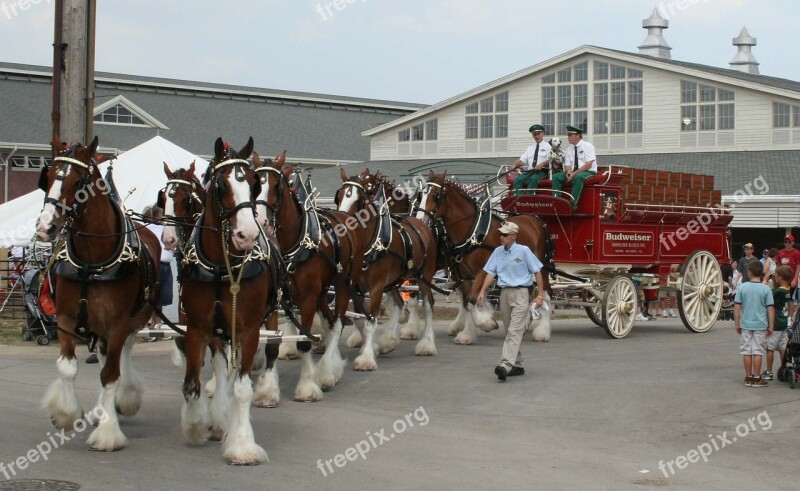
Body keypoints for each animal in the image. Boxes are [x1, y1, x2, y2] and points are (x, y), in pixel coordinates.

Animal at [36, 136, 160, 452]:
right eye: (47, 177)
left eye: (78, 181)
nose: (45, 227)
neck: (91, 263)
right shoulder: (66, 318)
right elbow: (67, 367)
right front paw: (66, 414)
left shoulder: (117, 322)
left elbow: (111, 375)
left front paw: (107, 433)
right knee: (105, 356)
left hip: (134, 318)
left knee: (122, 355)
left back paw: (122, 400)